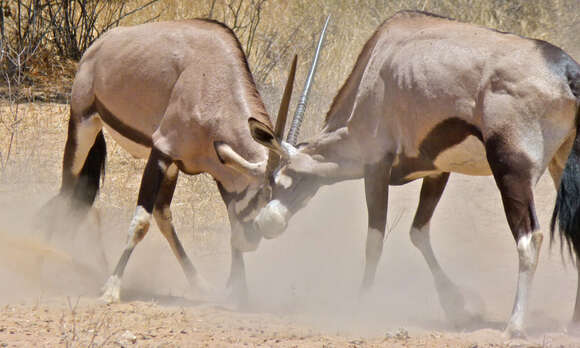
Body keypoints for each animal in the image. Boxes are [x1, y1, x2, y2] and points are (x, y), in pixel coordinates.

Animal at [44, 17, 326, 304]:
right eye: (264, 193)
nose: (256, 237)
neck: (214, 82)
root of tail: (99, 45)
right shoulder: (162, 151)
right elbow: (140, 222)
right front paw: (111, 288)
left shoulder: (216, 169)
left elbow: (228, 220)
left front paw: (239, 292)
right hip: (83, 124)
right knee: (69, 189)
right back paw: (58, 255)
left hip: (170, 168)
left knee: (162, 214)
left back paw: (199, 284)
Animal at [241, 10, 580, 338]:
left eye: (277, 182)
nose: (264, 224)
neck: (374, 69)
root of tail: (567, 73)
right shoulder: (438, 169)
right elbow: (418, 231)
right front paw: (457, 307)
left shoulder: (376, 167)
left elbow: (375, 240)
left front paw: (360, 305)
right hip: (559, 164)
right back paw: (572, 324)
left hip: (512, 171)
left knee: (528, 238)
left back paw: (515, 326)